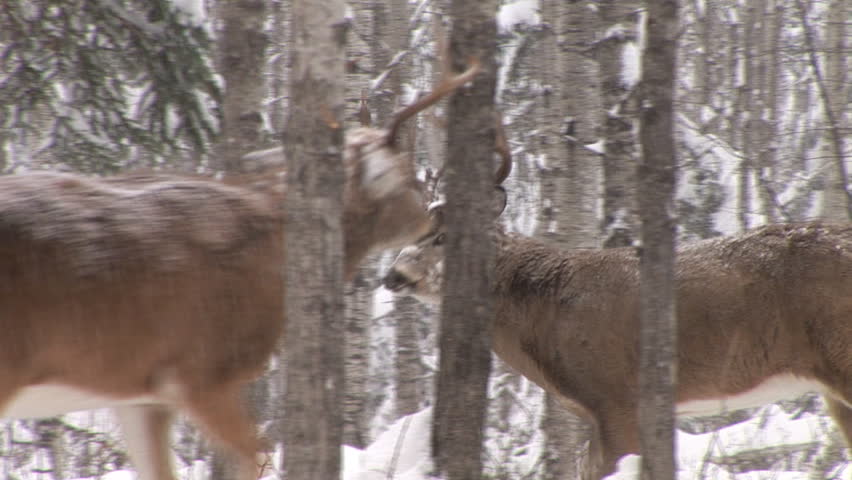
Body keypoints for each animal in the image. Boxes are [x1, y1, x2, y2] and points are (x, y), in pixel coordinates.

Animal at [0, 60, 482, 480]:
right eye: (409, 178)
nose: (438, 216)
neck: (272, 250)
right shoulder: (202, 371)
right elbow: (259, 455)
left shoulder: (140, 392)